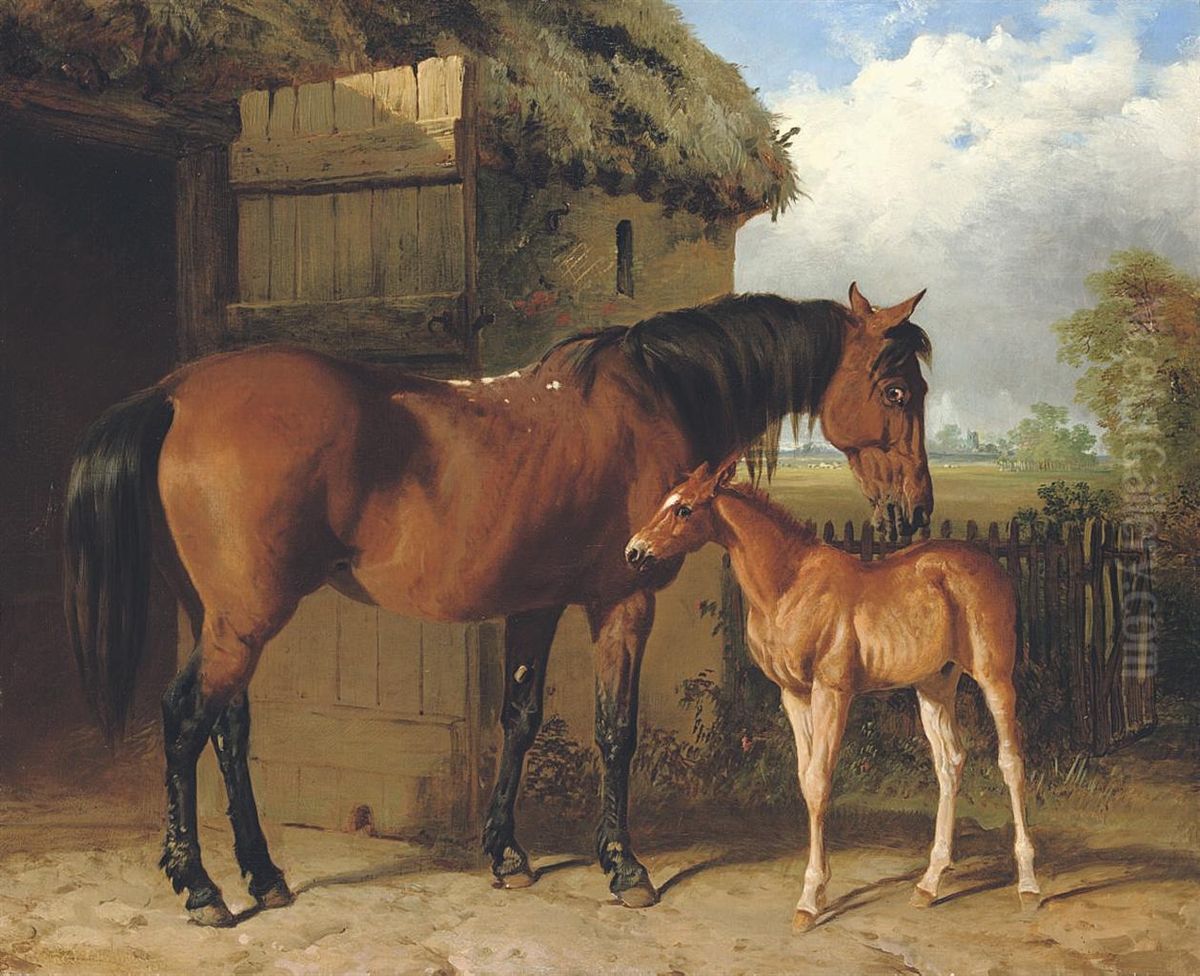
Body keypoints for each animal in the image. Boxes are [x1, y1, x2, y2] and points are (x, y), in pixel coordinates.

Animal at [63, 283, 933, 926]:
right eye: (895, 388)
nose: (915, 512)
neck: (655, 395)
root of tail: (175, 393)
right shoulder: (622, 602)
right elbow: (614, 731)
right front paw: (625, 868)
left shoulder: (535, 607)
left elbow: (519, 719)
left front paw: (507, 855)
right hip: (243, 622)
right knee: (186, 724)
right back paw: (203, 889)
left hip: (217, 619)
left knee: (228, 731)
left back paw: (262, 875)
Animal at [625, 458, 1040, 931]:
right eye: (665, 501)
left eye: (684, 509)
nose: (634, 551)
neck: (788, 588)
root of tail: (993, 567)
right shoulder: (793, 695)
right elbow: (805, 781)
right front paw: (818, 889)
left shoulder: (831, 693)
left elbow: (820, 783)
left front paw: (809, 900)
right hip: (935, 685)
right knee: (949, 764)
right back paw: (929, 884)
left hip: (994, 678)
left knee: (1011, 762)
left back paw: (1029, 886)